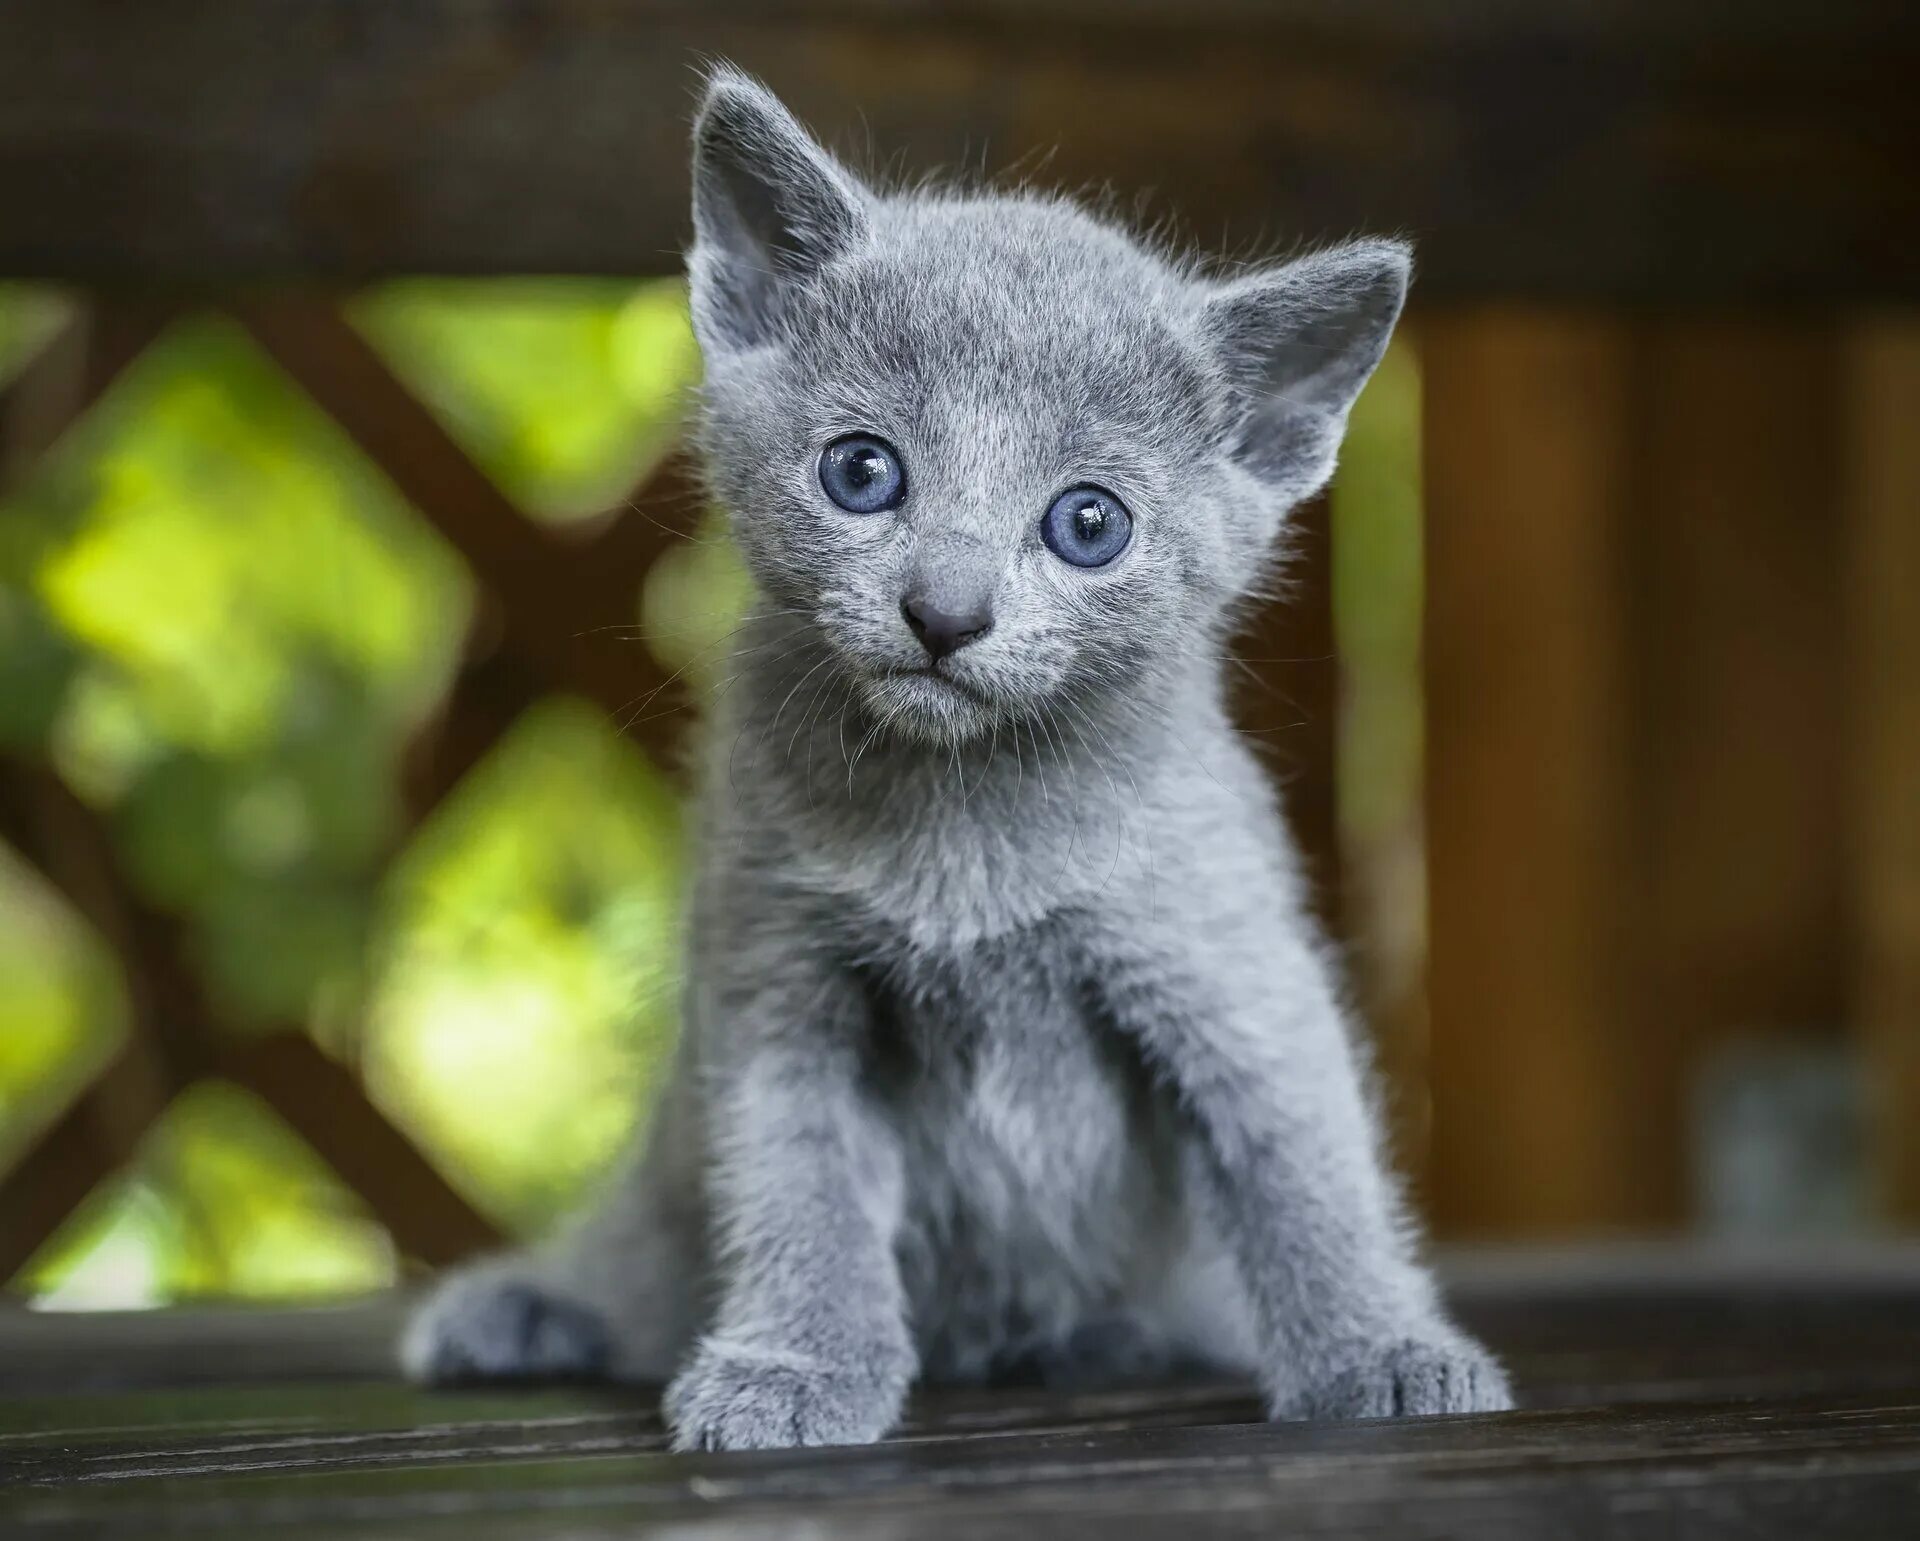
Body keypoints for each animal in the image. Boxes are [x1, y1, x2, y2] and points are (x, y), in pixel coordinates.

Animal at [405, 66, 1512, 1450]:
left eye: (1088, 522)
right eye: (861, 470)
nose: (945, 609)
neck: (964, 819)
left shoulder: (1227, 961)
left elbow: (1303, 1164)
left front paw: (1382, 1348)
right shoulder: (776, 980)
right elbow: (800, 1187)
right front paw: (794, 1361)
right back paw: (530, 1308)